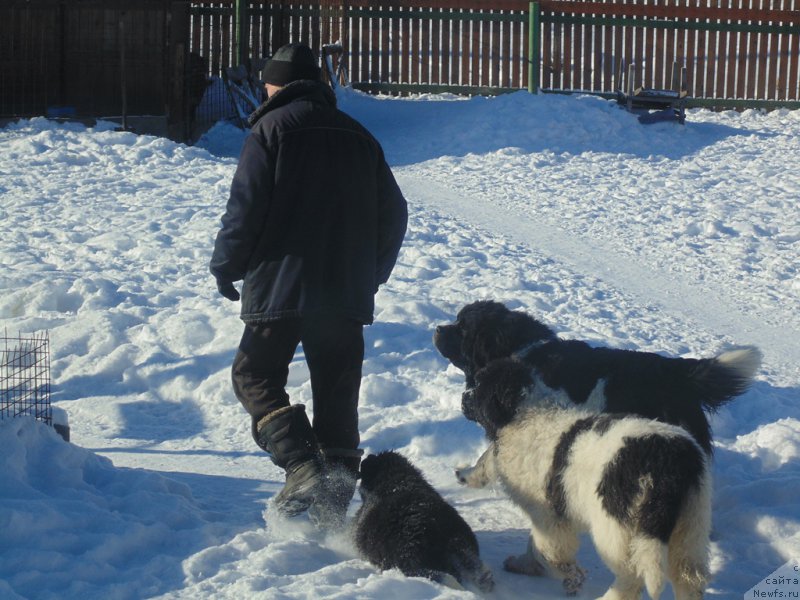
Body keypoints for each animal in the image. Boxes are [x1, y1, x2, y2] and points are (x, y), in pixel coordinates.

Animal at [468, 376, 712, 600]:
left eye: (479, 385)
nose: (465, 397)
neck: (526, 414)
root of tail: (667, 462)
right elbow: (537, 546)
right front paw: (526, 564)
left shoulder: (548, 514)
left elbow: (548, 551)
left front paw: (570, 577)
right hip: (692, 521)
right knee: (688, 575)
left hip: (615, 526)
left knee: (632, 575)